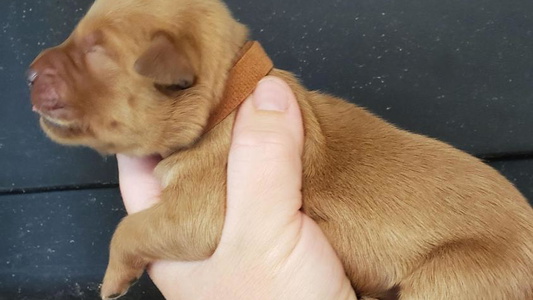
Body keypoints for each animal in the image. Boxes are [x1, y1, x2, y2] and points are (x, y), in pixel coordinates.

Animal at [28, 0, 532, 298]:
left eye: (96, 52)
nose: (28, 73)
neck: (228, 95)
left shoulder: (197, 213)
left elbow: (130, 228)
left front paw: (113, 278)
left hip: (454, 277)